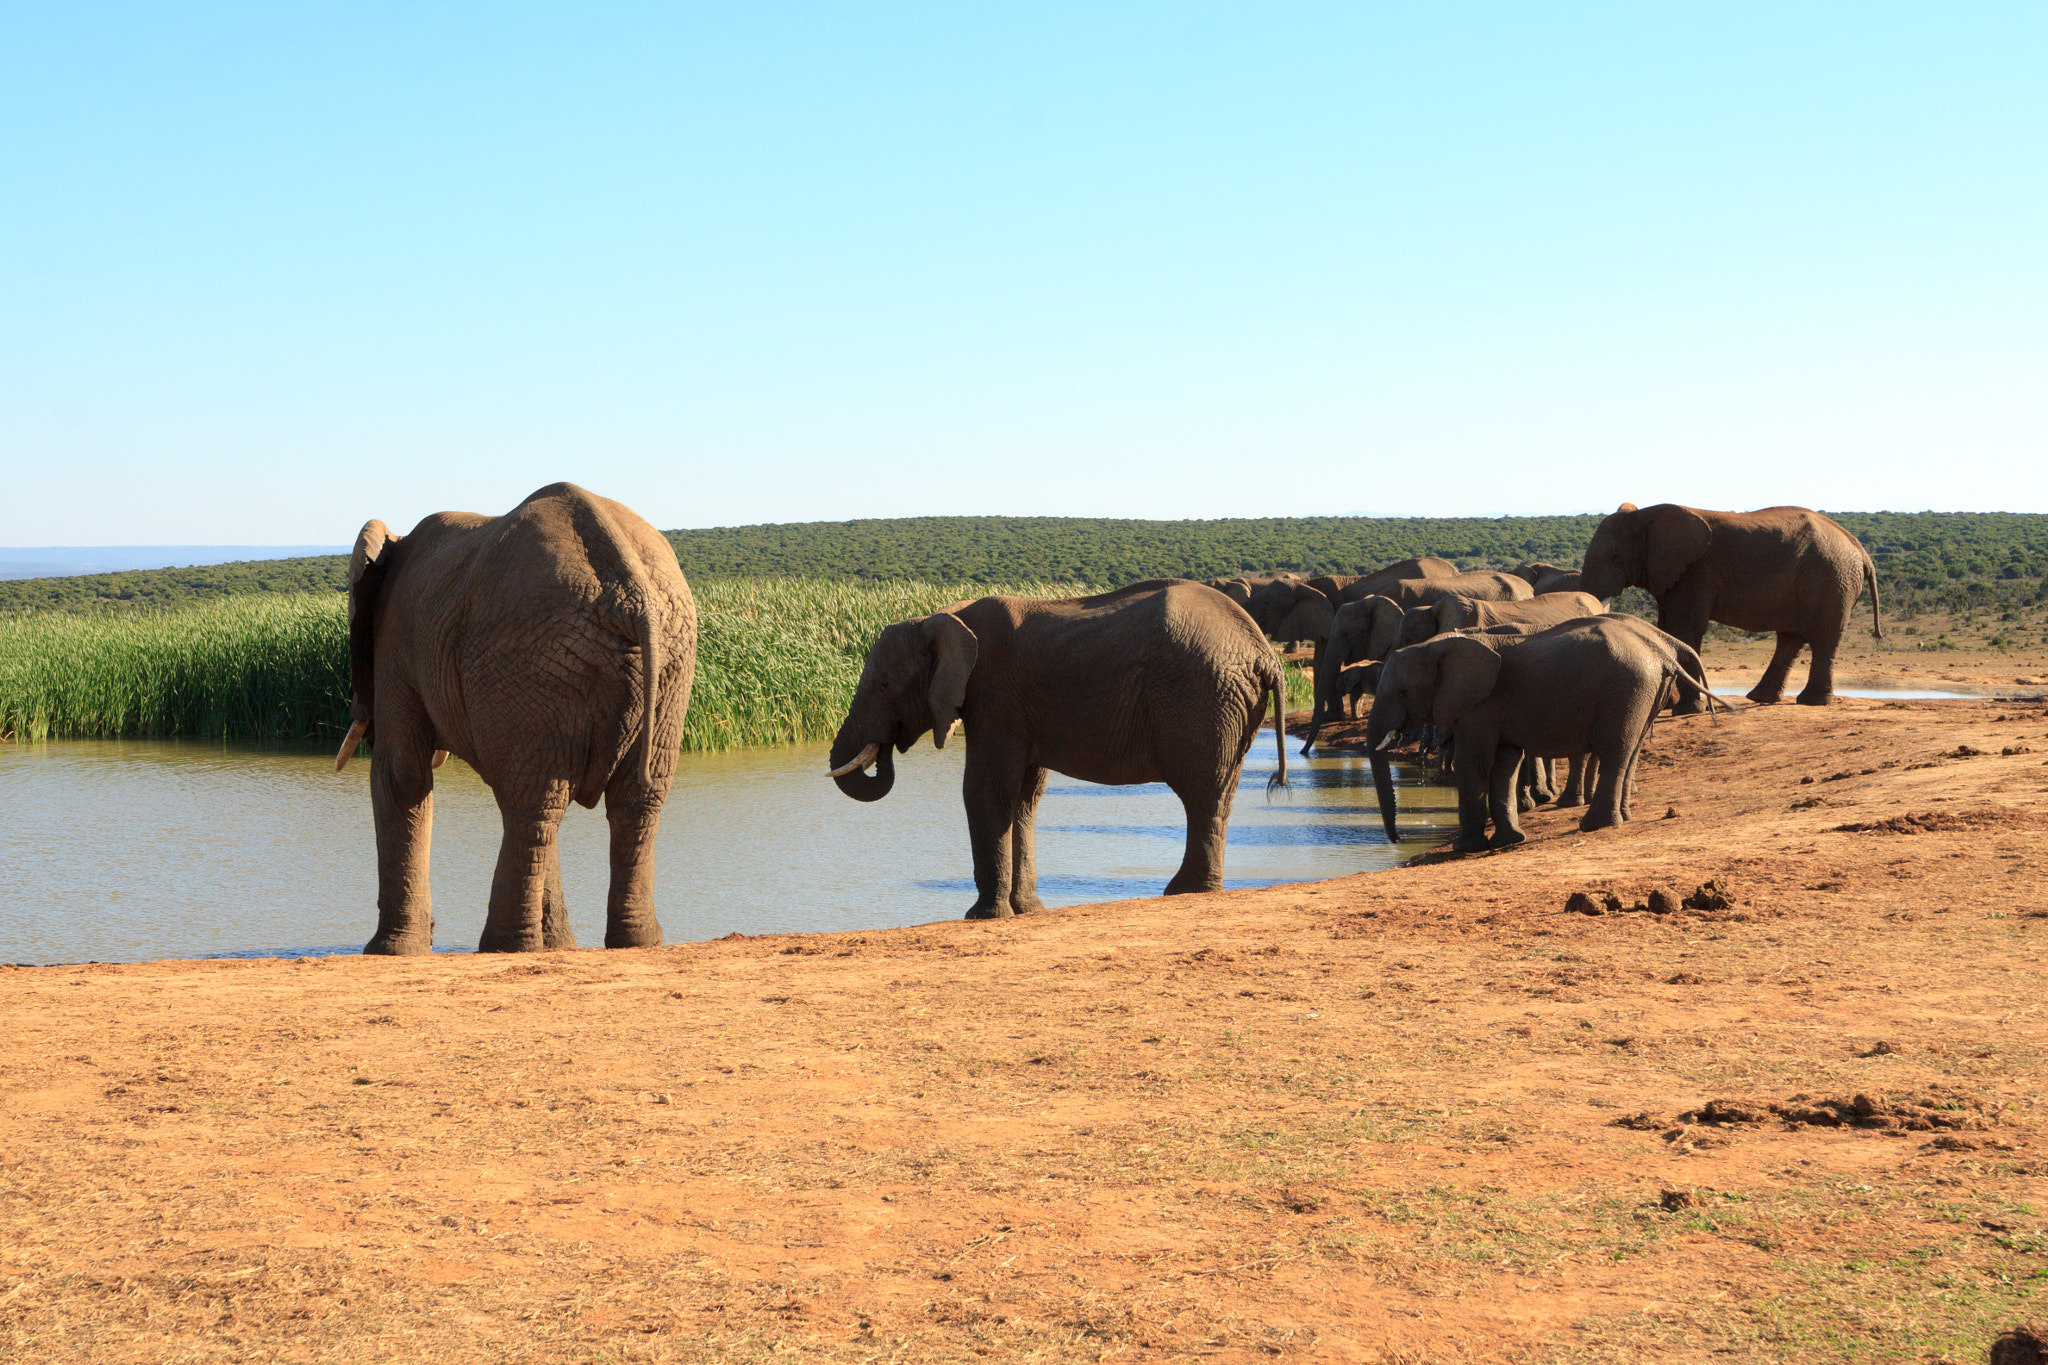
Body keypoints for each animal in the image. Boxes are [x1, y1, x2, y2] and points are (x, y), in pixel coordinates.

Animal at [331, 485, 692, 957]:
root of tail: (631, 594)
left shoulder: (395, 642)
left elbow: (400, 776)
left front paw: (388, 952)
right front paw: (557, 946)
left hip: (534, 657)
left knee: (532, 806)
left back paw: (503, 947)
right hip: (654, 662)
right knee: (608, 805)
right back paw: (630, 943)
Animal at [827, 577, 1277, 916]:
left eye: (884, 685)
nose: (885, 748)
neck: (941, 618)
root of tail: (1264, 653)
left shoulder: (995, 696)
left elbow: (985, 791)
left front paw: (983, 916)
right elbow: (1025, 797)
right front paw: (1027, 910)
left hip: (1203, 695)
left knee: (1200, 791)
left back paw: (1183, 891)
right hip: (1229, 704)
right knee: (1219, 792)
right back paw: (1194, 890)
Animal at [1368, 618, 1720, 855]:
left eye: (1402, 692)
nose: (1397, 840)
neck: (1437, 645)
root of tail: (1661, 652)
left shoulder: (1479, 706)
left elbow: (1473, 764)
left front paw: (1465, 849)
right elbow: (1504, 765)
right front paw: (1509, 841)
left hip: (1626, 689)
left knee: (1614, 749)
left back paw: (1594, 826)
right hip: (1643, 692)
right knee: (1629, 751)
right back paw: (1621, 818)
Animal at [1572, 505, 1875, 716]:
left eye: (1615, 558)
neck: (1645, 516)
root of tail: (1860, 549)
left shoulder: (1695, 571)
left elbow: (1685, 629)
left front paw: (1686, 711)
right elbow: (1667, 628)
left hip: (1830, 579)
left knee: (1823, 638)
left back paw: (1813, 702)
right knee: (1790, 638)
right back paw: (1761, 698)